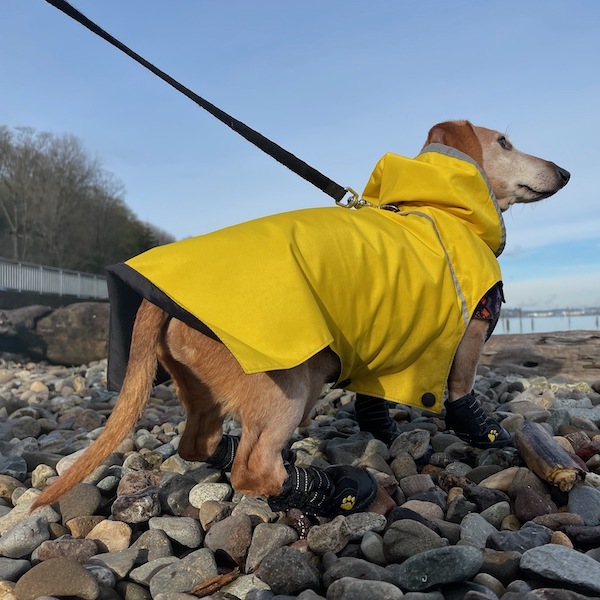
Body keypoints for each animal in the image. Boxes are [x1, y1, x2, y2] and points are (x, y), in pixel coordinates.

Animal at [30, 120, 568, 510]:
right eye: (504, 141)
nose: (565, 172)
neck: (439, 208)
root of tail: (155, 301)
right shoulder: (467, 338)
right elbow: (463, 394)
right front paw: (487, 432)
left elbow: (373, 399)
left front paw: (382, 429)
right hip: (291, 384)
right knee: (254, 469)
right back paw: (325, 491)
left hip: (203, 385)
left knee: (198, 443)